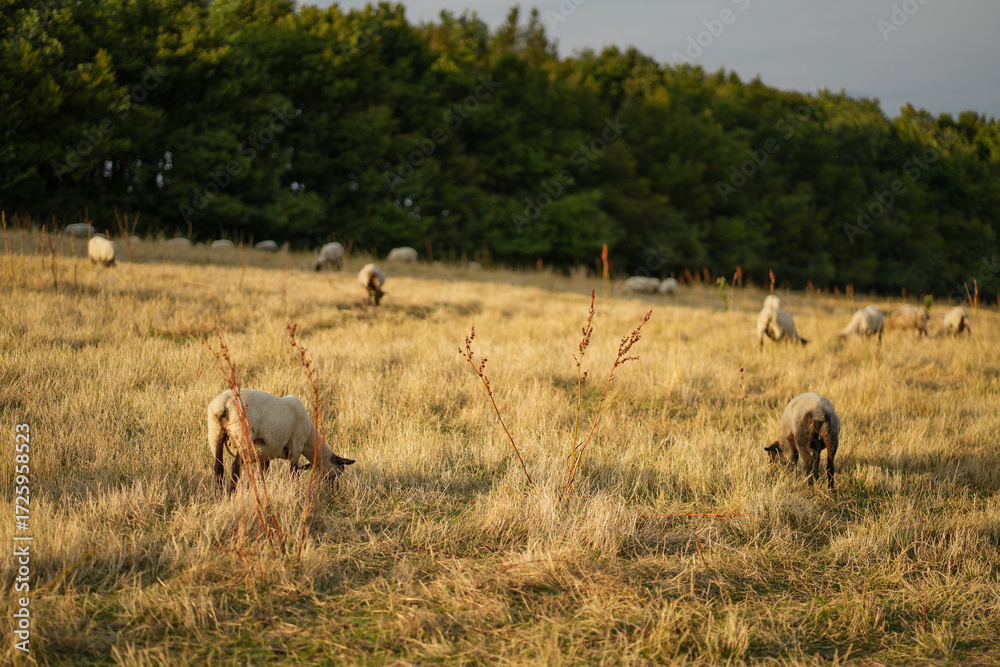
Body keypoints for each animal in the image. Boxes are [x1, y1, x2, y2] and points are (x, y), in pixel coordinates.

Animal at [207, 388, 354, 495]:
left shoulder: (265, 453)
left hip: (215, 434)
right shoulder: (296, 448)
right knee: (235, 467)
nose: (335, 491)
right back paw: (231, 494)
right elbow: (294, 473)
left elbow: (263, 473)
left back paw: (220, 495)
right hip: (242, 436)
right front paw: (295, 490)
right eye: (340, 470)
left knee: (218, 467)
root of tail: (223, 405)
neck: (309, 439)